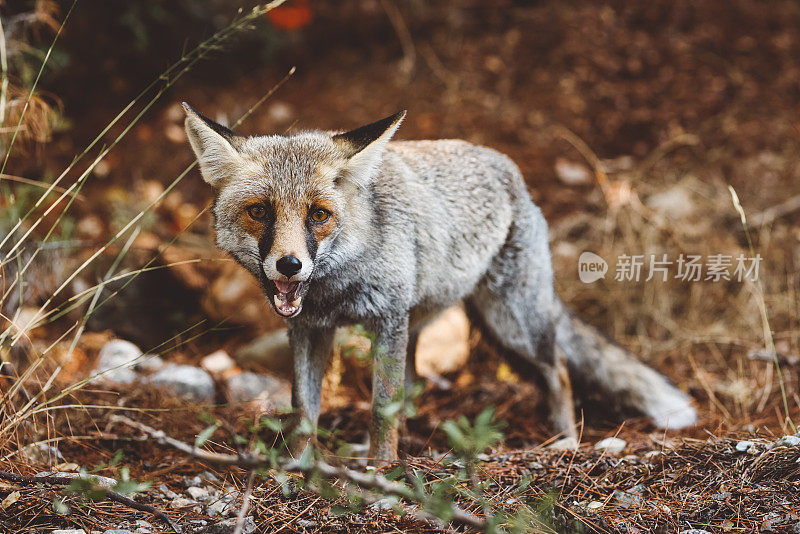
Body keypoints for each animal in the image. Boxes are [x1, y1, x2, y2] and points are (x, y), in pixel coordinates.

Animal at [184, 105, 696, 464]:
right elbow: (304, 412)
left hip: (512, 323)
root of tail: (508, 167)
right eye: (260, 211)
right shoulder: (310, 329)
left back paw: (565, 440)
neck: (337, 286)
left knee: (559, 369)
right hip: (428, 323)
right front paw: (296, 468)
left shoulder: (387, 318)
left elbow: (380, 410)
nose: (289, 265)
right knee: (414, 385)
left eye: (319, 215)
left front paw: (381, 469)